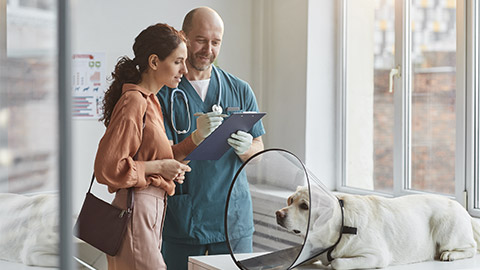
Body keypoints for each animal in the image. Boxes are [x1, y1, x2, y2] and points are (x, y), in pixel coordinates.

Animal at [276, 187, 480, 270]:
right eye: (291, 200)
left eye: (305, 206)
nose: (278, 213)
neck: (342, 226)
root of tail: (463, 209)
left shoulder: (376, 255)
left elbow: (337, 263)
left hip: (446, 229)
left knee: (472, 248)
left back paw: (450, 254)